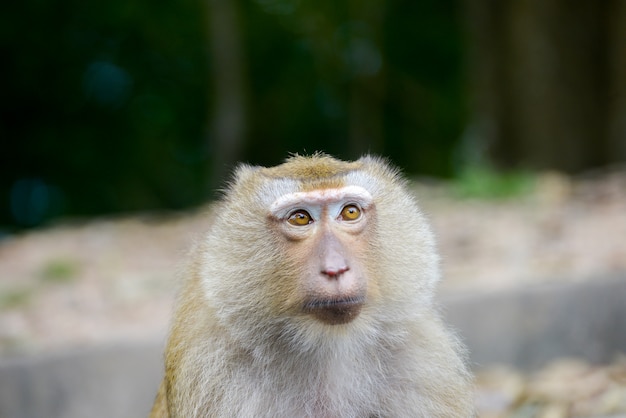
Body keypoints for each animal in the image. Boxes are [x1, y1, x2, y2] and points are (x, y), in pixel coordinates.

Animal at [150, 154, 472, 418]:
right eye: (300, 218)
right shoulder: (212, 367)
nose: (335, 268)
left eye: (350, 212)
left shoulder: (422, 360)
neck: (328, 348)